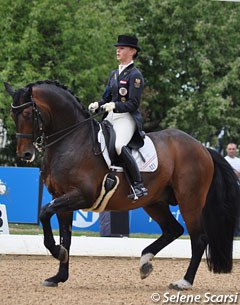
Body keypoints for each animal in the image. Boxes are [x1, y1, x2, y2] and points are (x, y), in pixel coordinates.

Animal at [4, 79, 240, 288]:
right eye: (12, 114)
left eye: (27, 114)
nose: (25, 154)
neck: (71, 140)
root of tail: (202, 148)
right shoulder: (61, 197)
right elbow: (65, 237)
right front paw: (58, 276)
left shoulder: (80, 195)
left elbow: (44, 212)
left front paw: (56, 253)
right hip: (154, 202)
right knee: (173, 230)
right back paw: (145, 263)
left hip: (189, 200)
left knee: (198, 238)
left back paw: (184, 282)